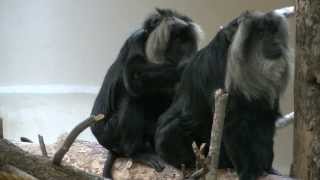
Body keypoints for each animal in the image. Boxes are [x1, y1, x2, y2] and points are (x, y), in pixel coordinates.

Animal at [90, 8, 201, 177]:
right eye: (176, 39)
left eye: (187, 41)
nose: (185, 51)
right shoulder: (136, 40)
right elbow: (134, 76)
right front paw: (186, 66)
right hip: (110, 132)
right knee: (131, 97)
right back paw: (137, 152)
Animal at [155, 10, 290, 179]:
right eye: (260, 33)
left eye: (272, 32)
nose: (275, 42)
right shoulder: (217, 69)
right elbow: (232, 122)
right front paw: (249, 171)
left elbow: (264, 117)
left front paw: (267, 167)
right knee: (171, 129)